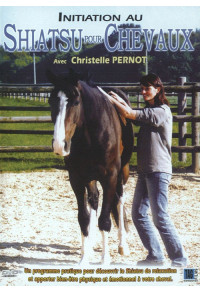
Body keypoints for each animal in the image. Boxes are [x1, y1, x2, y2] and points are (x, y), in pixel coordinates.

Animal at [47, 70, 134, 264]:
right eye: (50, 101)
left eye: (76, 102)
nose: (59, 145)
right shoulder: (77, 179)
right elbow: (83, 217)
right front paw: (84, 257)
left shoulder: (110, 177)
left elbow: (105, 220)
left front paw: (105, 259)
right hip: (91, 177)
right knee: (94, 200)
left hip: (122, 173)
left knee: (120, 200)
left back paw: (122, 245)